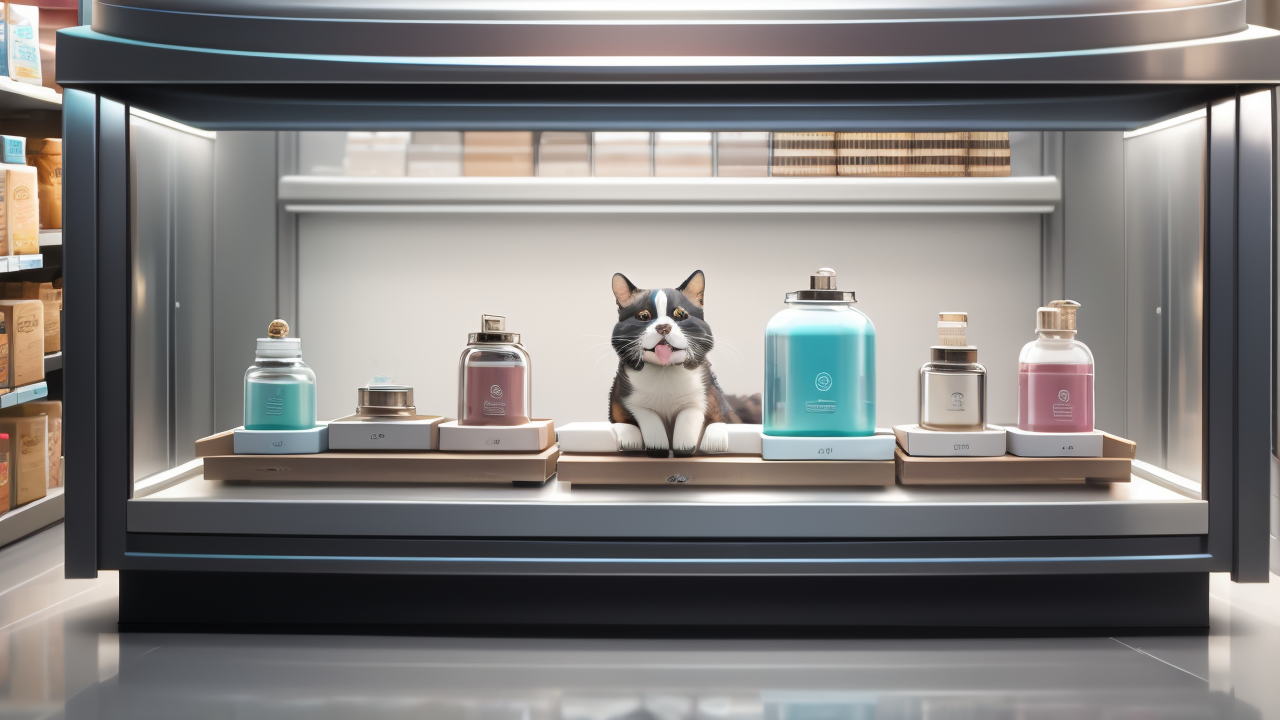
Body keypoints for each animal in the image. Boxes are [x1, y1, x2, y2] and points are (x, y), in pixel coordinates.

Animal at [609, 269, 742, 453]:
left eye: (681, 314)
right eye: (643, 315)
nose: (663, 327)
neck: (665, 371)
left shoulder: (706, 392)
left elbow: (695, 411)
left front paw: (686, 442)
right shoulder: (622, 396)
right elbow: (644, 414)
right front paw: (656, 443)